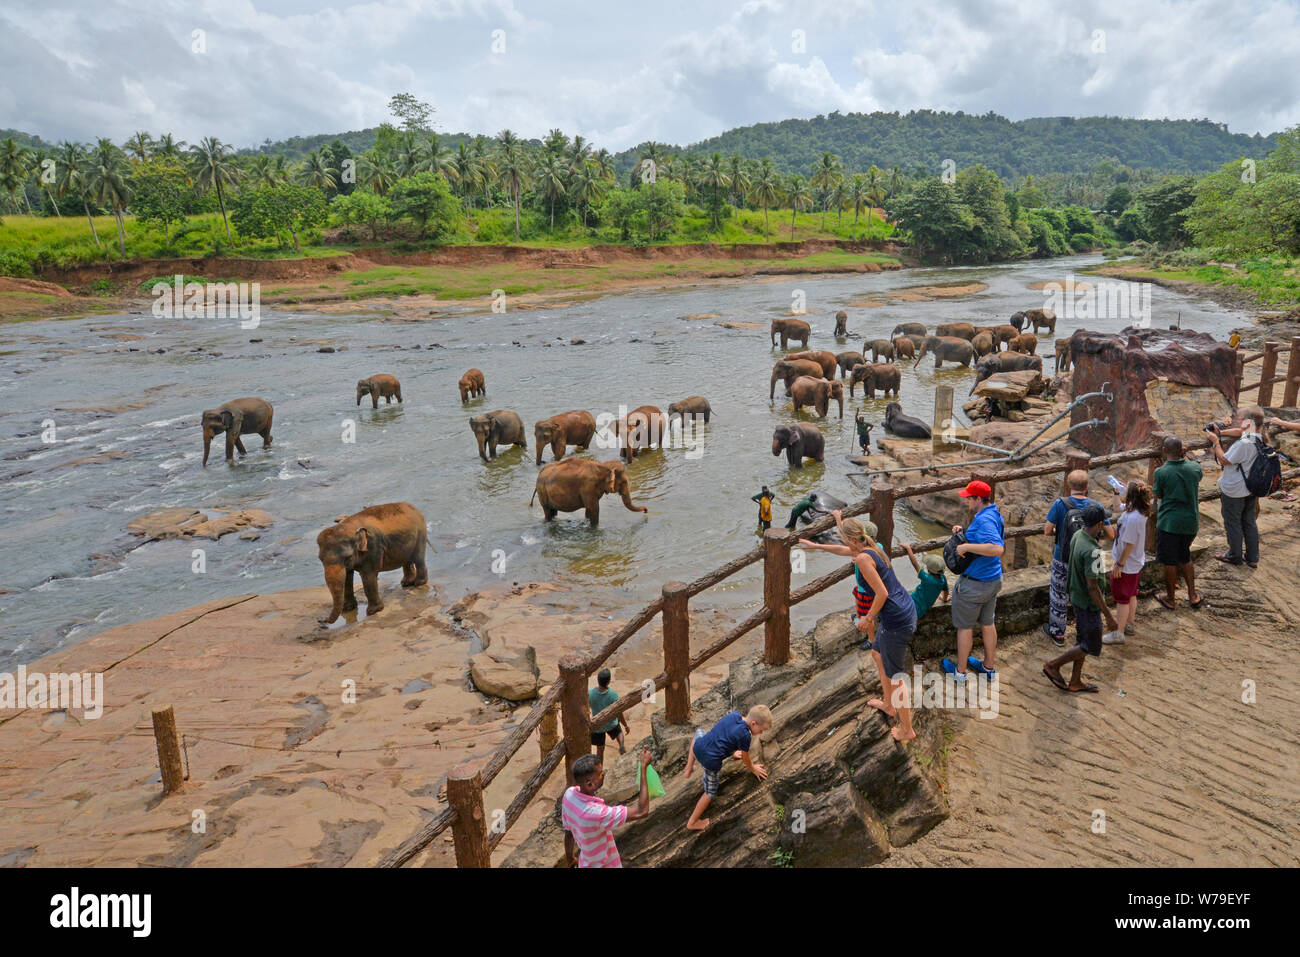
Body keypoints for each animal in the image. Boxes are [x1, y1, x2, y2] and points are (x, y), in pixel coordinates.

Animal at [317, 501, 428, 629]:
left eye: (347, 557)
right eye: (321, 559)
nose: (321, 620)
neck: (349, 526)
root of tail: (414, 507)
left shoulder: (373, 547)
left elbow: (368, 575)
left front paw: (373, 611)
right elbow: (347, 577)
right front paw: (348, 609)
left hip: (421, 533)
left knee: (418, 558)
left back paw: (419, 583)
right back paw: (406, 583)